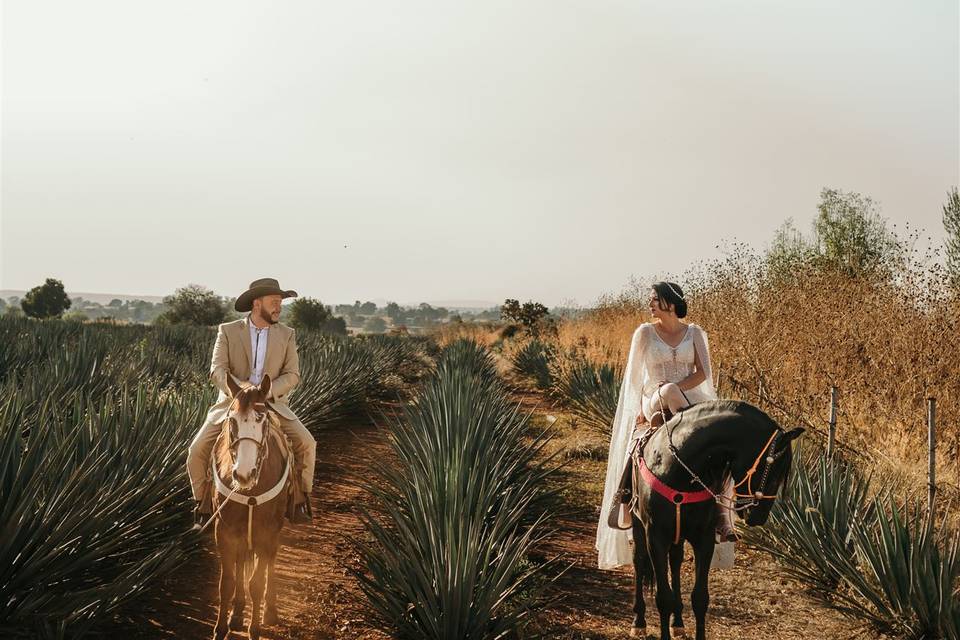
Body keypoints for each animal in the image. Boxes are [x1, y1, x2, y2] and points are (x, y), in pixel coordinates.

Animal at [208, 376, 286, 640]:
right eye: (231, 419)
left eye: (262, 419)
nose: (243, 475)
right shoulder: (224, 530)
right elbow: (227, 583)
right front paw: (220, 629)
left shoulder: (266, 532)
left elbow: (257, 583)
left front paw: (255, 630)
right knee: (242, 561)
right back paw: (238, 612)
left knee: (270, 561)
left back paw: (269, 611)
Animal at [628, 400, 800, 640]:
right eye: (774, 470)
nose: (759, 517)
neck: (679, 468)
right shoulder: (656, 536)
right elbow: (663, 598)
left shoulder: (704, 538)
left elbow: (700, 598)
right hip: (638, 525)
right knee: (639, 561)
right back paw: (639, 620)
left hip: (678, 535)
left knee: (676, 561)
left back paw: (678, 622)